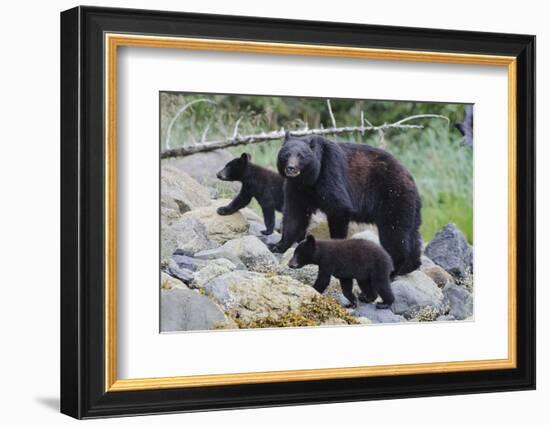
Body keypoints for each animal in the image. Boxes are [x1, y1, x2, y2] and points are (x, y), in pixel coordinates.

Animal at [270, 134, 422, 276]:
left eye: (301, 155)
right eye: (286, 154)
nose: (291, 168)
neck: (310, 180)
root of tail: (411, 179)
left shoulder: (331, 173)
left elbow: (339, 208)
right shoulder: (296, 188)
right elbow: (294, 215)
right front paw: (277, 246)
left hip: (393, 198)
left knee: (395, 232)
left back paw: (393, 269)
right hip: (410, 208)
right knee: (412, 235)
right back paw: (409, 266)